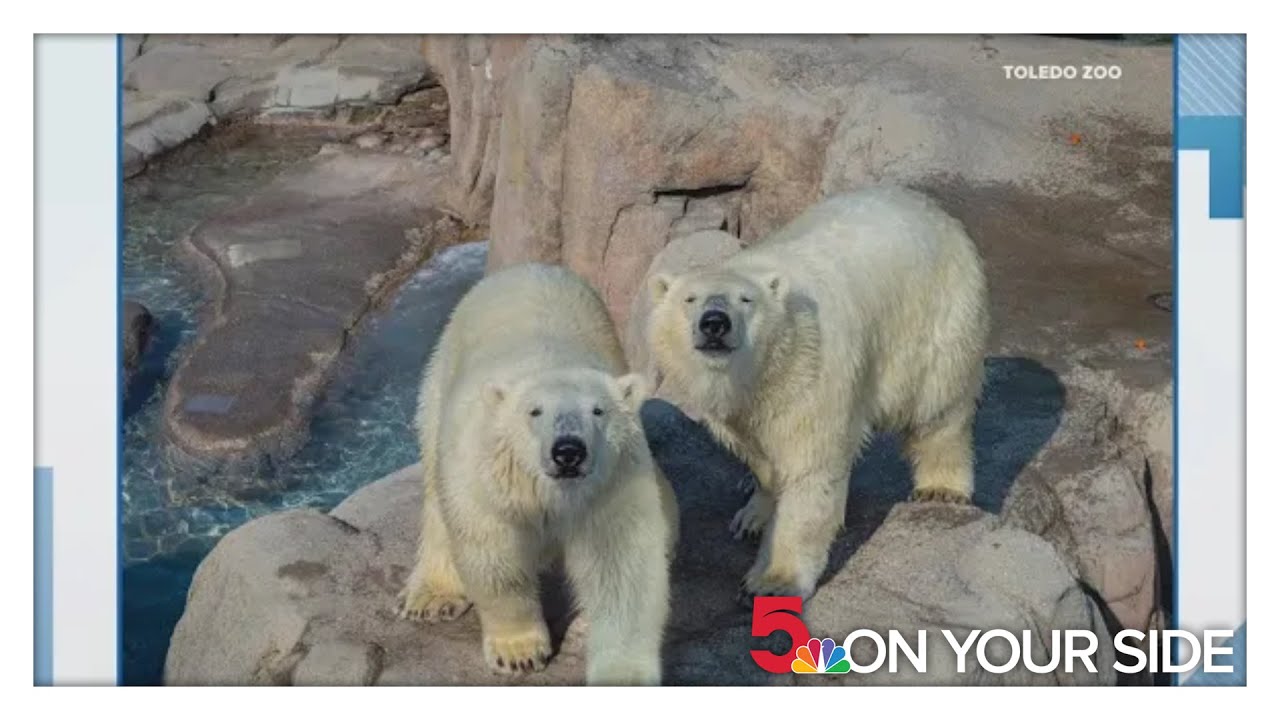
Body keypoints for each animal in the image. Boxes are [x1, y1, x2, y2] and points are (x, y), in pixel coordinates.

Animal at [399, 262, 679, 687]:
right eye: (535, 411)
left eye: (598, 410)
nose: (568, 451)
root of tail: (528, 267)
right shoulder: (491, 474)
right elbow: (495, 554)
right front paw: (519, 653)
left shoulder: (613, 483)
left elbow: (621, 566)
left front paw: (622, 675)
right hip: (440, 374)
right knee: (435, 491)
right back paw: (432, 596)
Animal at [646, 184, 989, 602]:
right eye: (689, 299)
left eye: (746, 300)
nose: (715, 323)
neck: (760, 373)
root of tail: (932, 209)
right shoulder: (744, 408)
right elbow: (762, 458)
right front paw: (754, 515)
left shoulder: (811, 373)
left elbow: (808, 472)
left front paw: (774, 580)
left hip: (935, 317)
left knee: (939, 406)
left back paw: (942, 487)